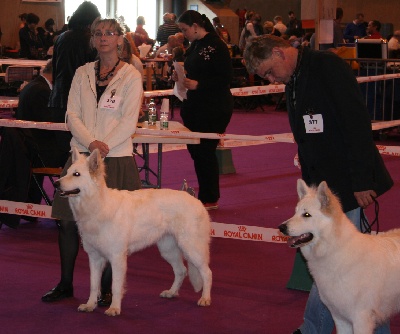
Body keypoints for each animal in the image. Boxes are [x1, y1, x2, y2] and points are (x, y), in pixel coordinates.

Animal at [280, 180, 400, 334]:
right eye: (295, 213)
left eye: (306, 214)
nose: (281, 227)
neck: (335, 251)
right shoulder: (340, 318)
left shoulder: (361, 319)